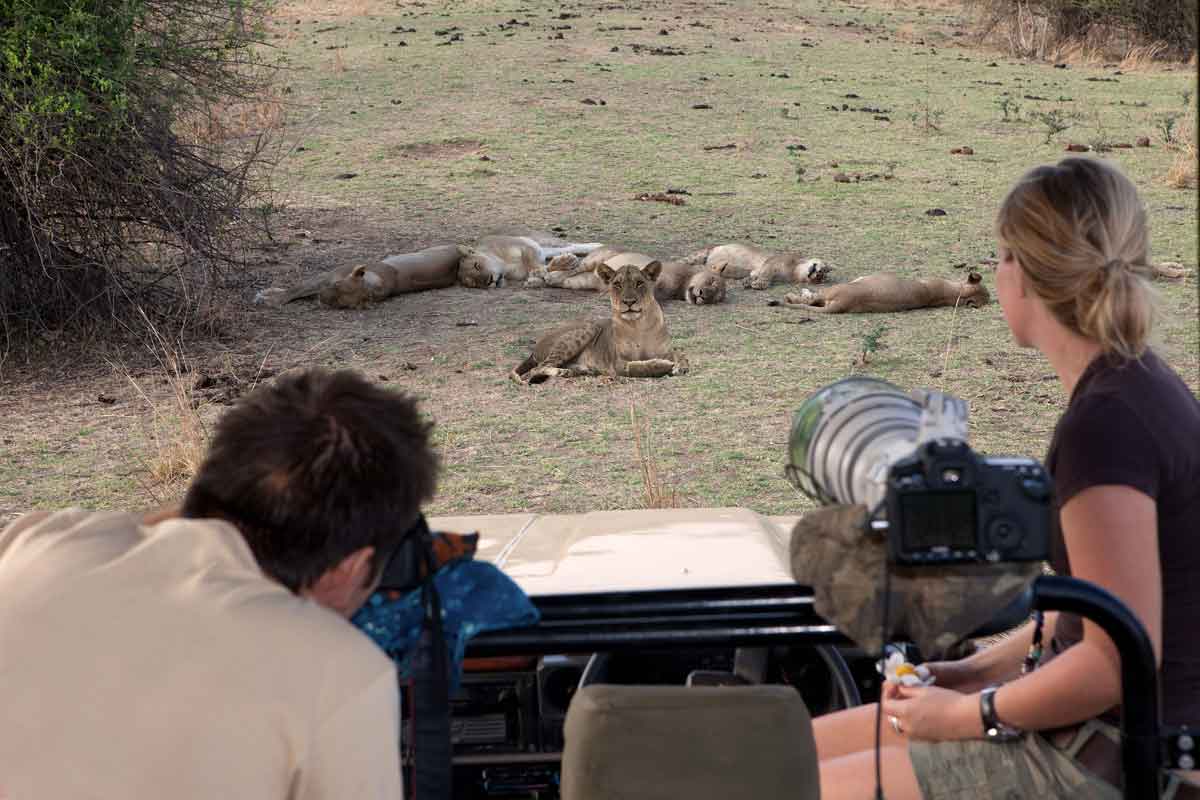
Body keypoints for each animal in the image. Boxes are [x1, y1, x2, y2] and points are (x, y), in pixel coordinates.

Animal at [511, 261, 691, 383]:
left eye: (639, 283)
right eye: (617, 284)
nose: (629, 302)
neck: (638, 325)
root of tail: (535, 347)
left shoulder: (666, 350)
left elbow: (681, 354)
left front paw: (681, 366)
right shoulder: (618, 363)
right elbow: (639, 367)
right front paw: (663, 366)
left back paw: (577, 372)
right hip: (588, 328)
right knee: (536, 369)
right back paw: (562, 373)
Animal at [691, 245, 830, 292]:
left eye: (820, 279)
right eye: (823, 270)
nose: (818, 274)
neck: (795, 272)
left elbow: (757, 276)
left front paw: (748, 282)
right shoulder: (771, 263)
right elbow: (765, 274)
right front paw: (758, 284)